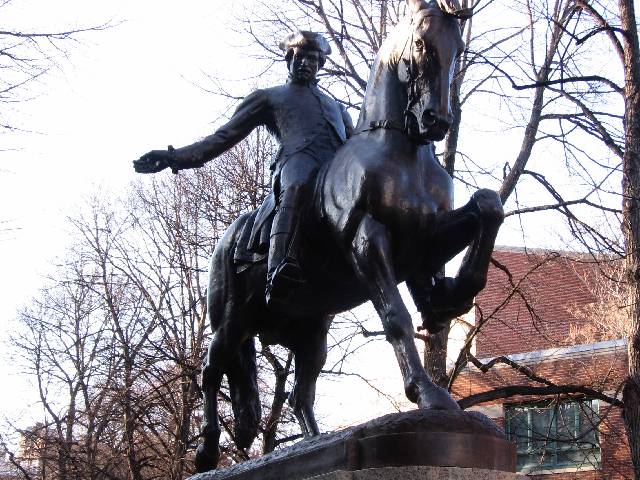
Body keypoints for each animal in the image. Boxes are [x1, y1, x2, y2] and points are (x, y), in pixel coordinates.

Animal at [192, 0, 502, 472]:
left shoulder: (425, 240)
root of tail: (227, 240)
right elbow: (395, 317)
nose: (436, 121)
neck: (401, 151)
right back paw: (208, 450)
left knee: (300, 395)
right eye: (420, 43)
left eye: (458, 47)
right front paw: (427, 393)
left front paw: (455, 293)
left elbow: (488, 205)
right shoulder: (368, 239)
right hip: (233, 321)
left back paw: (312, 446)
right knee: (211, 371)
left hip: (311, 331)